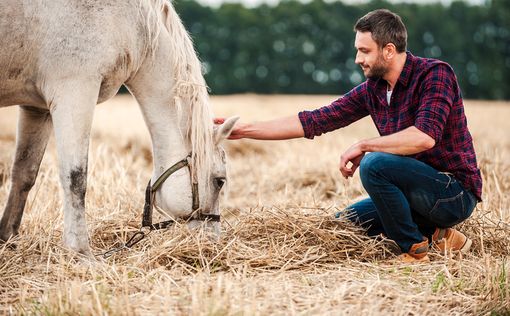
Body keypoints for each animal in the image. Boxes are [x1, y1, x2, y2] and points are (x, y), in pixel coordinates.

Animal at [0, 0, 239, 254]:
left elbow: (24, 174)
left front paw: (7, 239)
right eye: (219, 181)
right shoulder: (75, 92)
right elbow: (75, 177)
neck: (133, 23)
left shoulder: (36, 108)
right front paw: (81, 251)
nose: (212, 241)